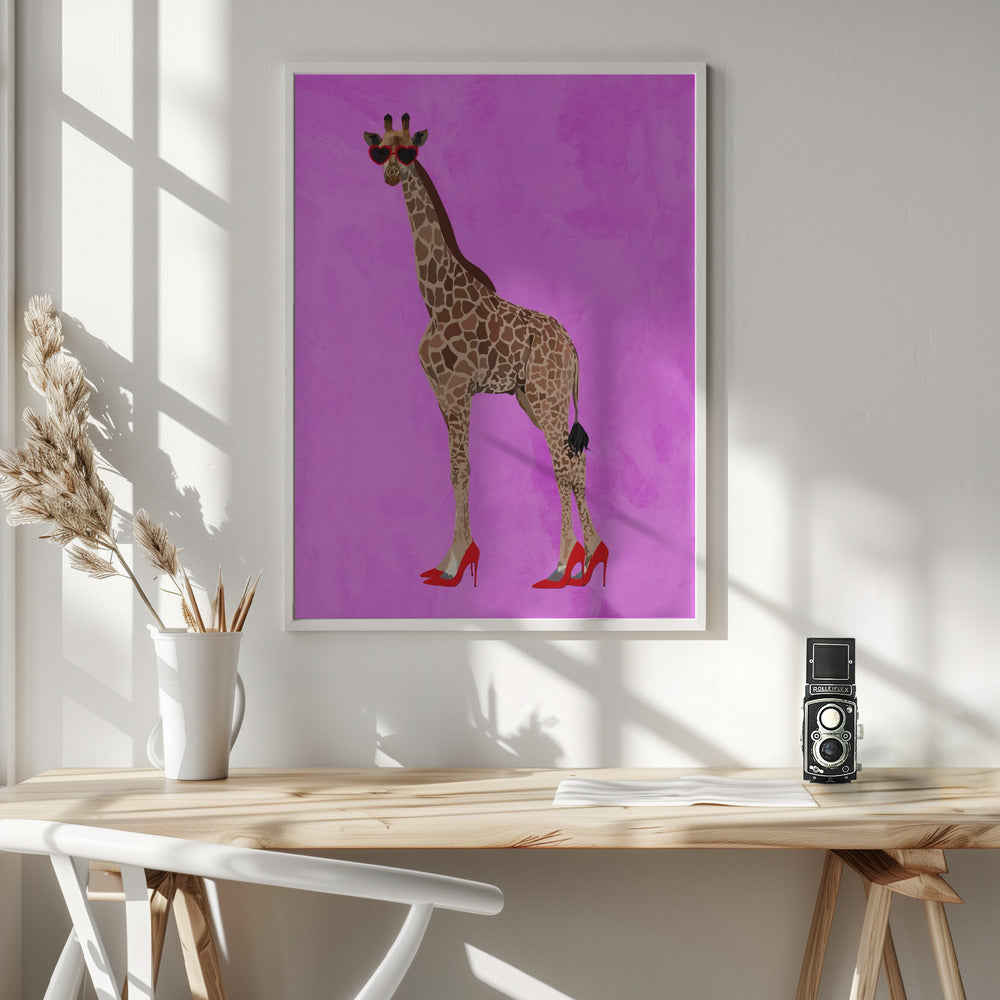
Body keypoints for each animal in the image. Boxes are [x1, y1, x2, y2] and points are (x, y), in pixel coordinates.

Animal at [364, 113, 608, 589]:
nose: (390, 174)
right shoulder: (442, 394)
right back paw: (589, 557)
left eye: (409, 150)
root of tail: (573, 347)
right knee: (574, 461)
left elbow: (462, 468)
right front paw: (448, 559)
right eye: (380, 149)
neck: (435, 299)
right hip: (532, 399)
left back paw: (564, 563)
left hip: (548, 399)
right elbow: (455, 470)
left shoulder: (460, 390)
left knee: (563, 465)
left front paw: (457, 562)